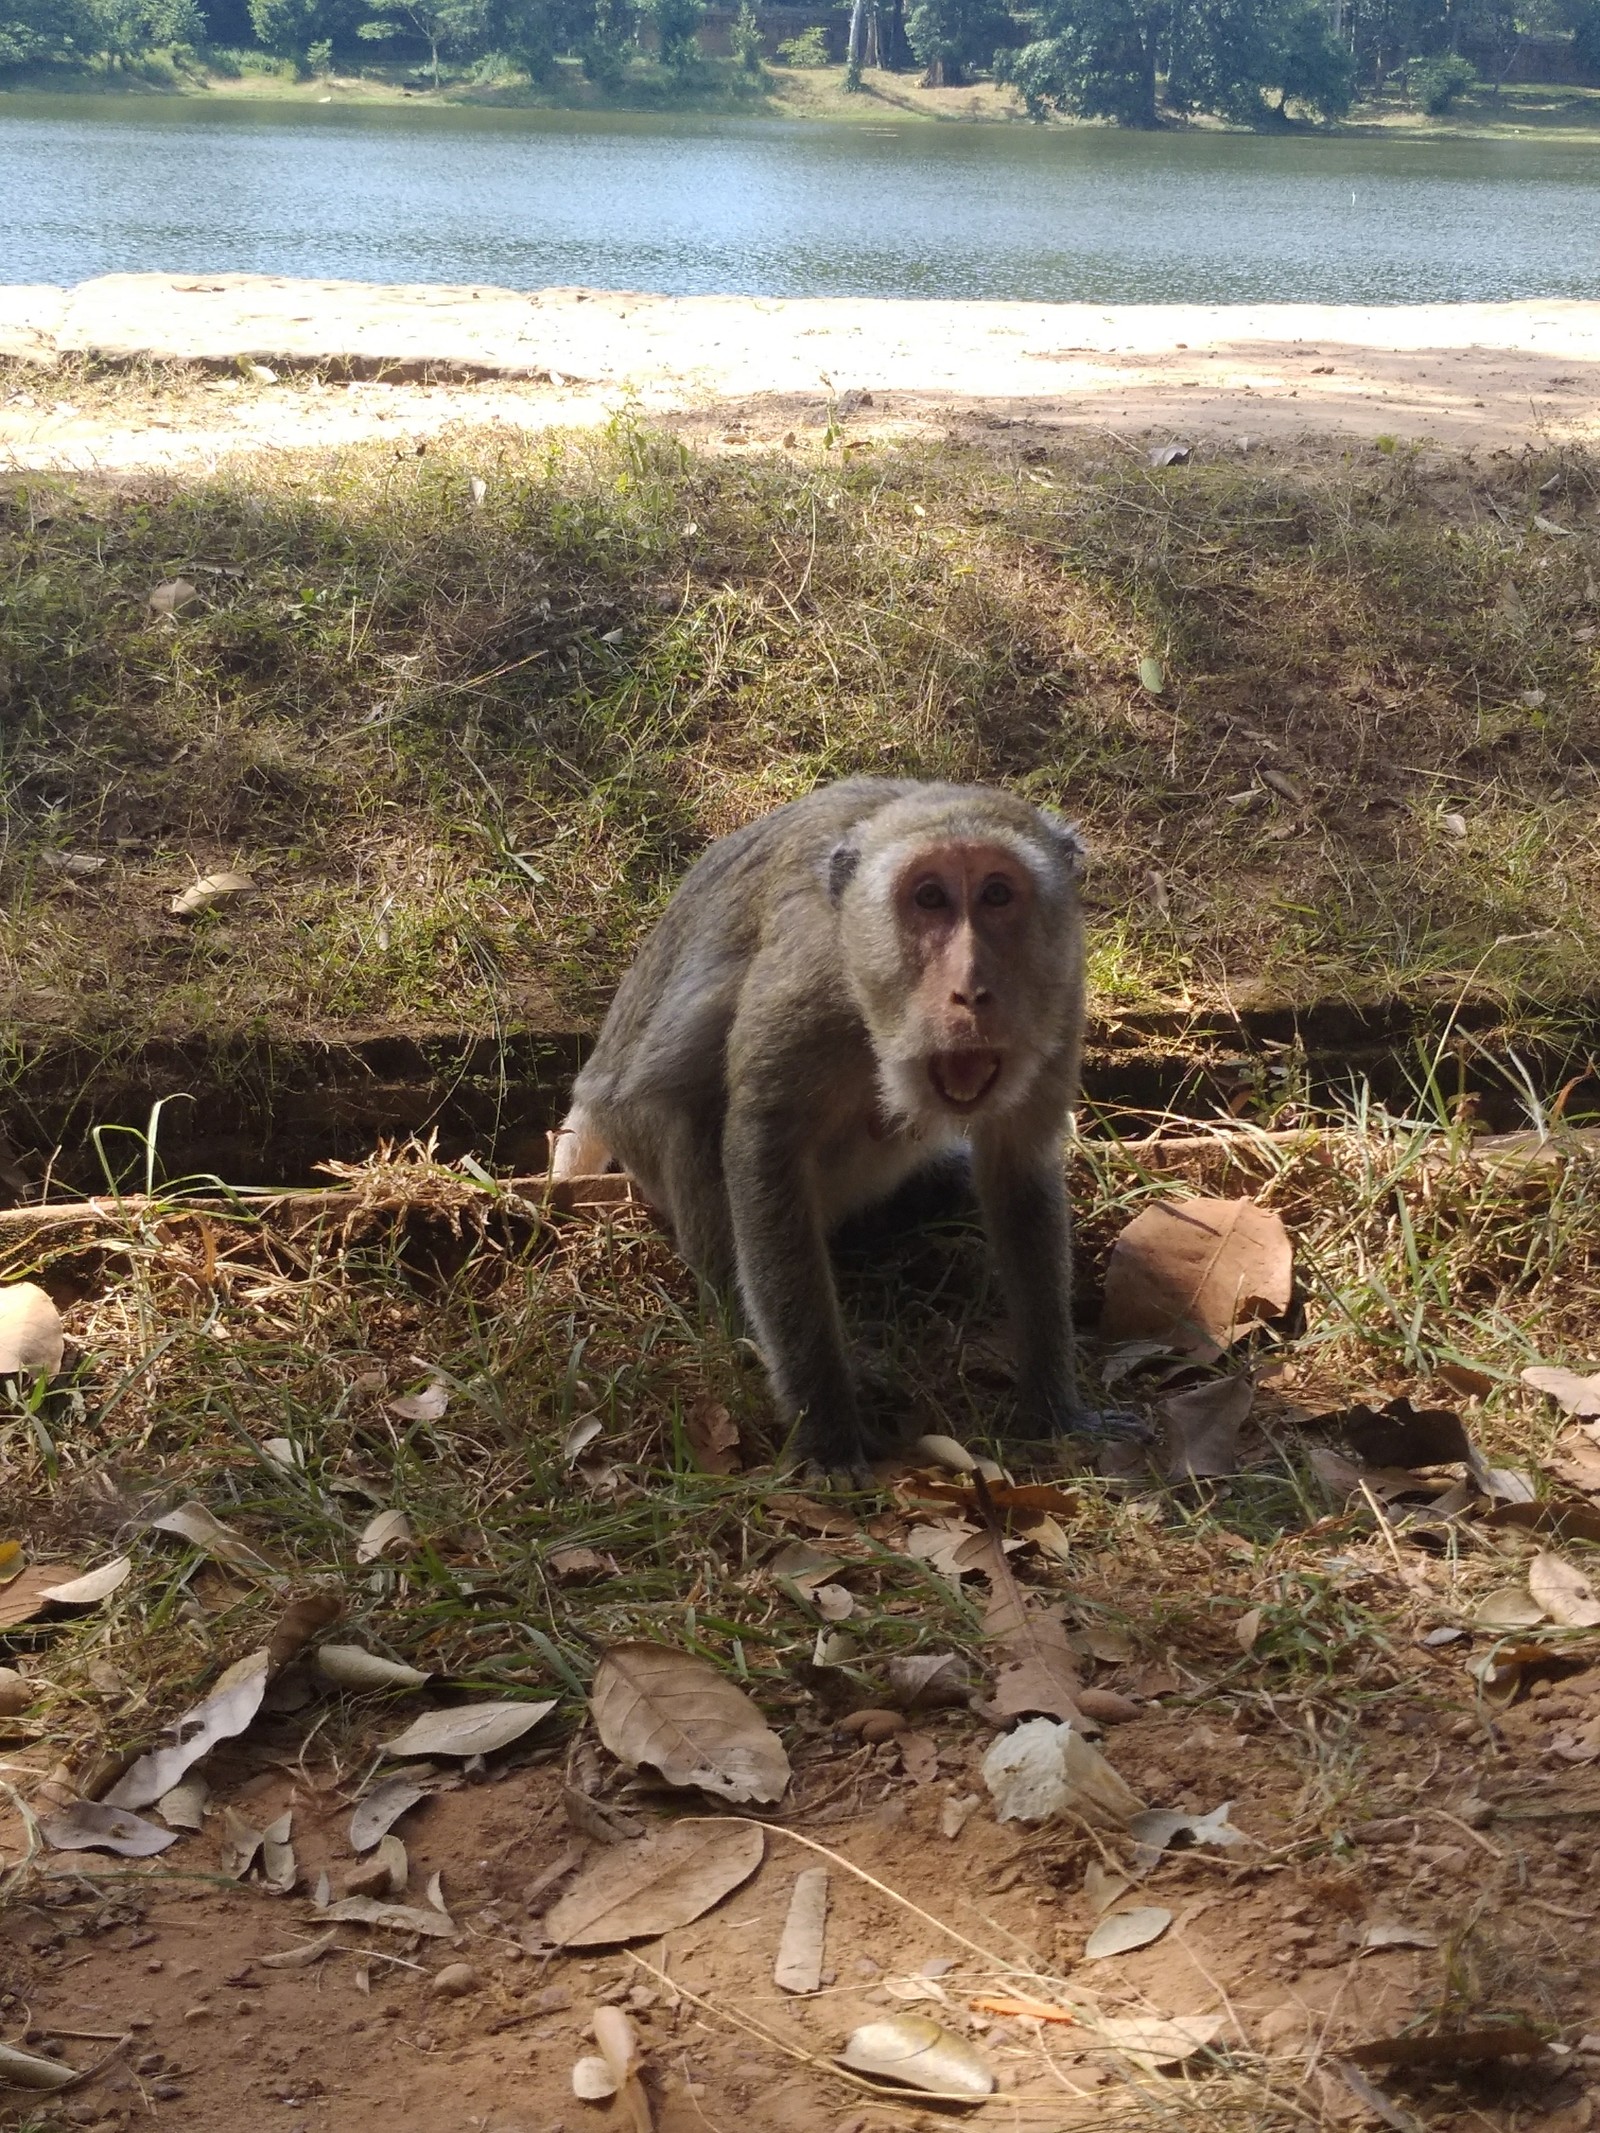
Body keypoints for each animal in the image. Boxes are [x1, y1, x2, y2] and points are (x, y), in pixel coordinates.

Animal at [554, 776, 1100, 1476]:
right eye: (930, 898)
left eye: (998, 895)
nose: (973, 990)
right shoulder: (808, 967)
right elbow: (764, 1147)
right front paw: (829, 1430)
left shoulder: (1062, 992)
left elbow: (1018, 1166)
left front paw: (1056, 1404)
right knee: (687, 1107)